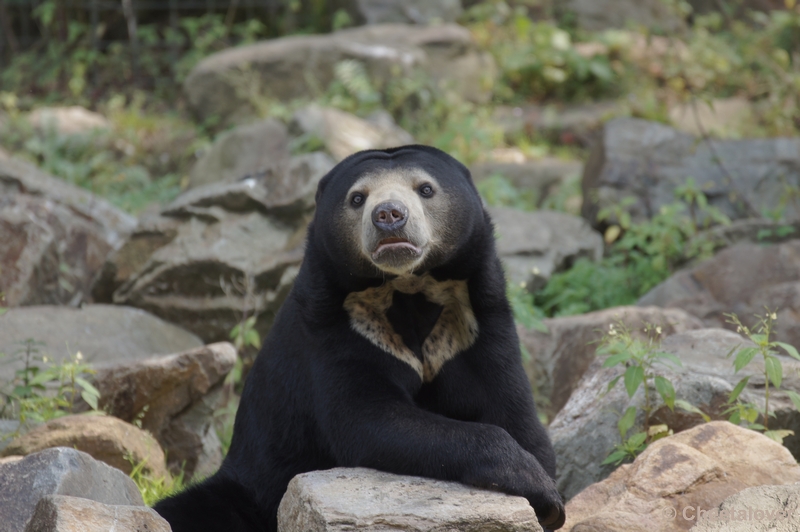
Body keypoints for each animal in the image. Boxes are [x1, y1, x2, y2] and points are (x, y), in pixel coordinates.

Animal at [155, 145, 564, 532]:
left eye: (425, 188)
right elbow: (367, 419)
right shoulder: (339, 328)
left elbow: (511, 408)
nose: (389, 215)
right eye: (357, 198)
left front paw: (547, 495)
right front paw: (535, 485)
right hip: (251, 484)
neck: (407, 288)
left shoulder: (475, 323)